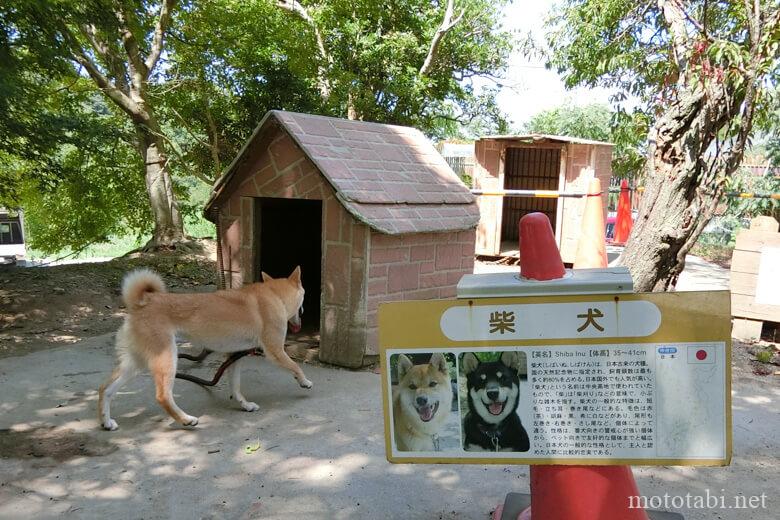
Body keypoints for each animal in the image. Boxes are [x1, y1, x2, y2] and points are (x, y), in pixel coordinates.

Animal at [99, 266, 312, 428]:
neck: (275, 295)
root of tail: (140, 304)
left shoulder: (234, 356)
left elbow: (235, 387)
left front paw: (244, 405)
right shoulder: (275, 351)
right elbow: (295, 366)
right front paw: (304, 381)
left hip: (135, 363)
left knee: (105, 389)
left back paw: (106, 421)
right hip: (167, 359)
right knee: (162, 396)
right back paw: (186, 420)